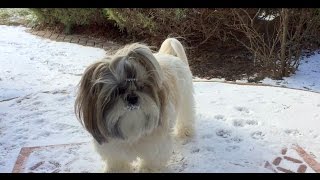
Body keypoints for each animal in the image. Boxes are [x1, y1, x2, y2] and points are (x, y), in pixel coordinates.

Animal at [75, 38, 195, 173]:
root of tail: (170, 56)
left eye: (142, 86)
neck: (132, 125)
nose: (132, 98)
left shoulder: (155, 147)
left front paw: (147, 170)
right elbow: (117, 162)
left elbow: (152, 161)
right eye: (118, 90)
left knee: (186, 115)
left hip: (186, 98)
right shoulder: (114, 150)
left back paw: (185, 131)